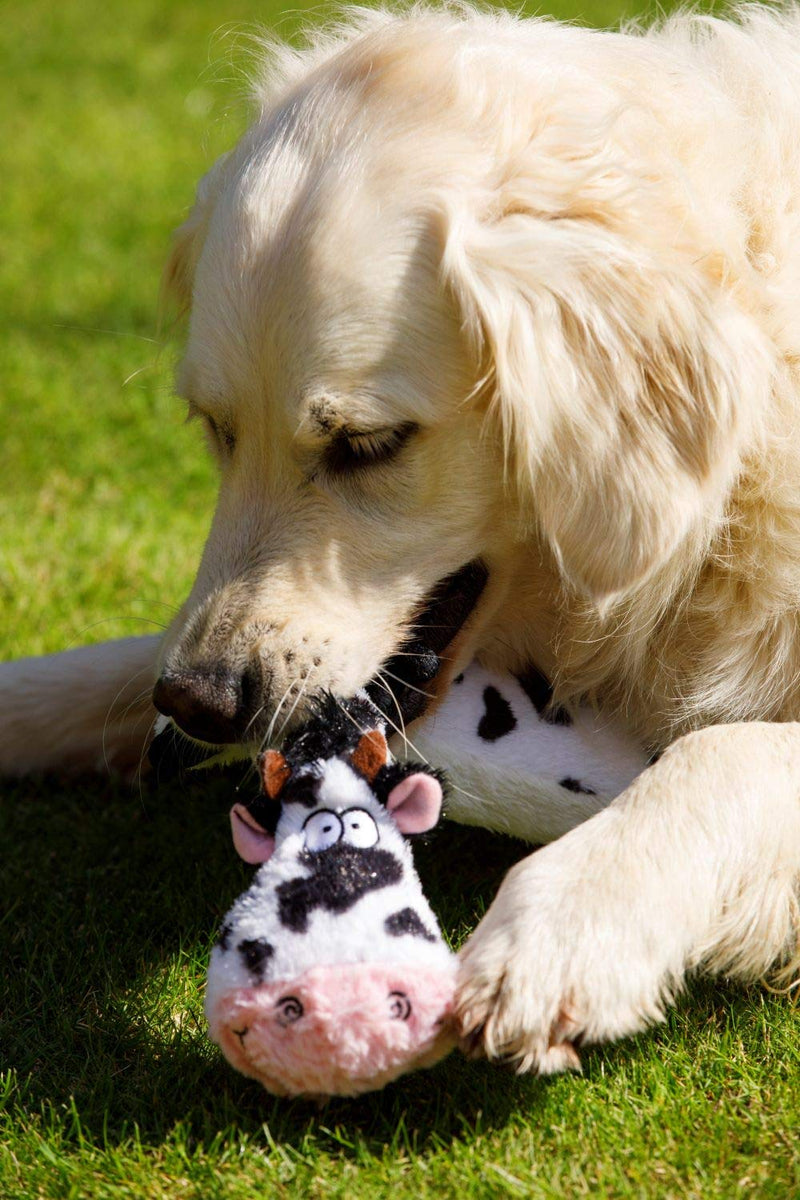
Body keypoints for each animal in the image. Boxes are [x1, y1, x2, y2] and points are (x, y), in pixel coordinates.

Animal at [1, 0, 800, 1070]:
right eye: (217, 428)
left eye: (367, 444)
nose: (200, 703)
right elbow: (109, 668)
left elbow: (724, 754)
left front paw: (563, 926)